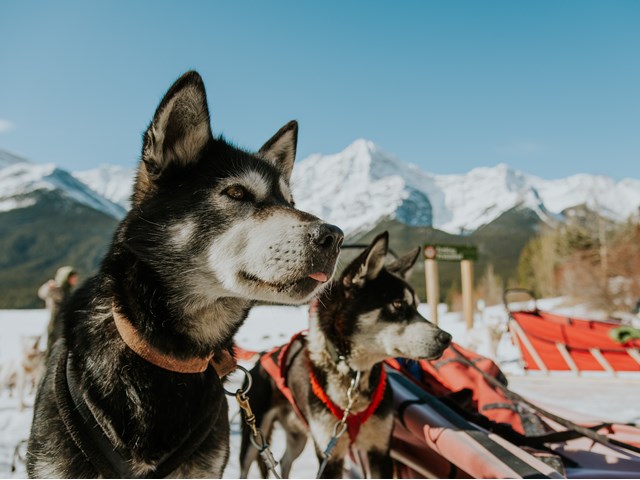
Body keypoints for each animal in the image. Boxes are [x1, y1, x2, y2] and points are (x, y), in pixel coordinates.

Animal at [238, 232, 452, 476]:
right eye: (398, 304)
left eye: (416, 306)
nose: (447, 338)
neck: (353, 375)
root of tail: (262, 357)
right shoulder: (329, 456)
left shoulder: (379, 452)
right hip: (253, 438)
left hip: (298, 437)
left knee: (285, 461)